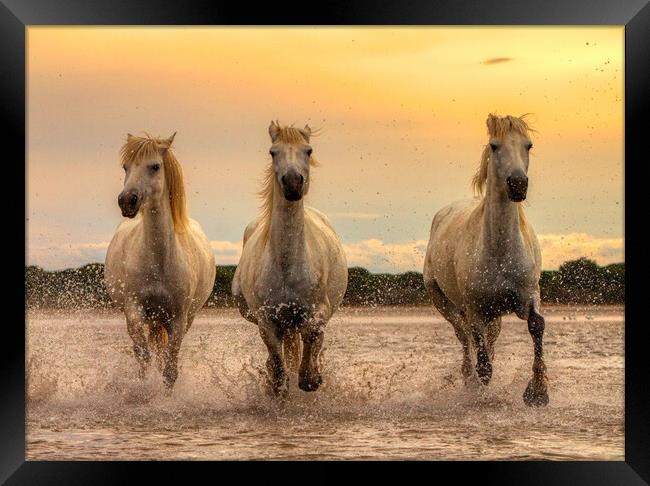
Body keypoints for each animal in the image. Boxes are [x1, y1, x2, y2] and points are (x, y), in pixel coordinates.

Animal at [104, 131, 215, 390]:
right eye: (125, 166)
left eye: (155, 166)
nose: (127, 201)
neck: (159, 261)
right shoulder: (134, 312)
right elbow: (143, 357)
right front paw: (145, 388)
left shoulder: (178, 318)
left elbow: (169, 367)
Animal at [230, 122, 346, 398]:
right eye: (273, 152)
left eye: (308, 150)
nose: (293, 184)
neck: (286, 265)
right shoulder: (267, 321)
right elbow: (279, 368)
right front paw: (277, 384)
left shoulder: (317, 311)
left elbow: (312, 337)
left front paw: (312, 377)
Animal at [420, 114, 548, 406]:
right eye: (494, 146)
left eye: (529, 145)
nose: (518, 184)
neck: (500, 252)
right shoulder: (476, 308)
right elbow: (483, 363)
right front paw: (480, 392)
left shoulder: (529, 294)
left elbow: (537, 326)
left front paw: (537, 393)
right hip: (442, 300)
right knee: (464, 336)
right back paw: (468, 380)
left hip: (494, 313)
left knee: (488, 339)